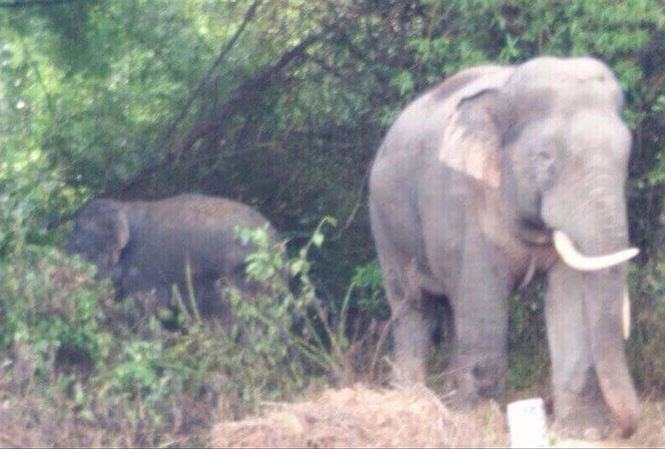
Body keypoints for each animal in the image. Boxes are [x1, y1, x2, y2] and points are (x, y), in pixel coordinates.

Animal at [370, 56, 640, 438]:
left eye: (627, 156)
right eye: (544, 157)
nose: (625, 430)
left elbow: (569, 296)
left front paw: (582, 432)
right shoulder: (462, 204)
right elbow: (483, 301)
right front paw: (483, 422)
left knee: (452, 310)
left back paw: (451, 403)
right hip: (386, 226)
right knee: (413, 307)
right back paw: (413, 400)